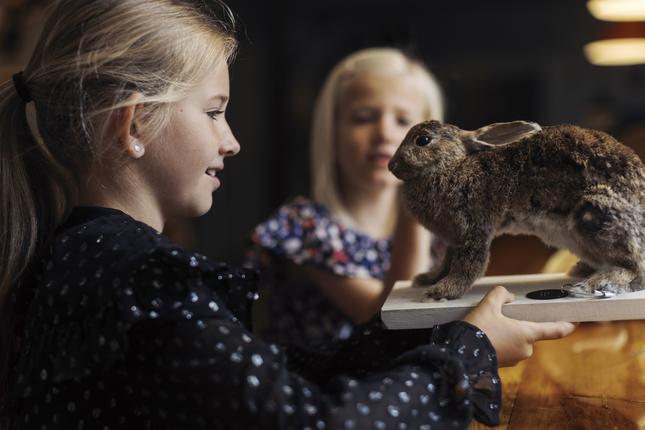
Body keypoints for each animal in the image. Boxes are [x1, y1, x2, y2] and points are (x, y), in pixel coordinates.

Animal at [388, 119, 644, 300]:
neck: (452, 166)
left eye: (423, 140)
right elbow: (445, 263)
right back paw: (581, 270)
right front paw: (427, 279)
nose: (392, 166)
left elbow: (469, 265)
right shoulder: (453, 240)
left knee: (637, 269)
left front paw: (442, 292)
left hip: (594, 213)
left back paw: (591, 283)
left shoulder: (474, 231)